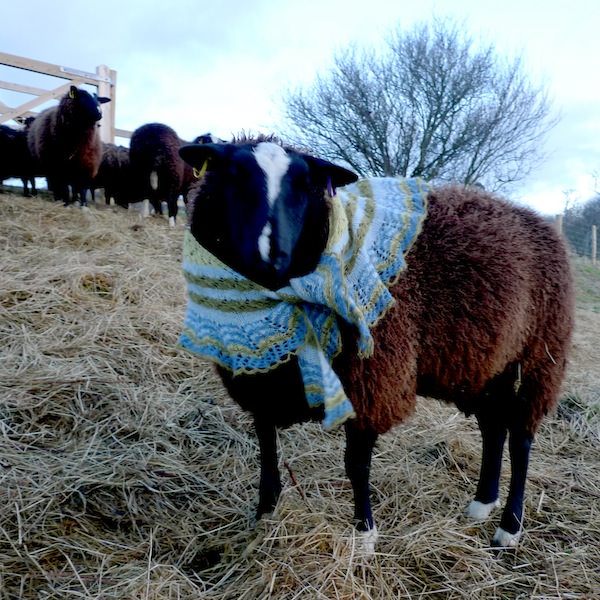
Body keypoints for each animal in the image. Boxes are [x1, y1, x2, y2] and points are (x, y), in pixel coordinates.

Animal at [176, 137, 576, 552]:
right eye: (233, 176)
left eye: (304, 186)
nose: (271, 256)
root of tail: (541, 223)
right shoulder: (260, 385)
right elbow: (268, 450)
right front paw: (265, 516)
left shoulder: (373, 380)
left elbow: (357, 463)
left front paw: (364, 533)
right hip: (484, 366)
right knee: (493, 429)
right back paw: (481, 504)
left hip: (537, 361)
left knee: (521, 440)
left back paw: (509, 527)